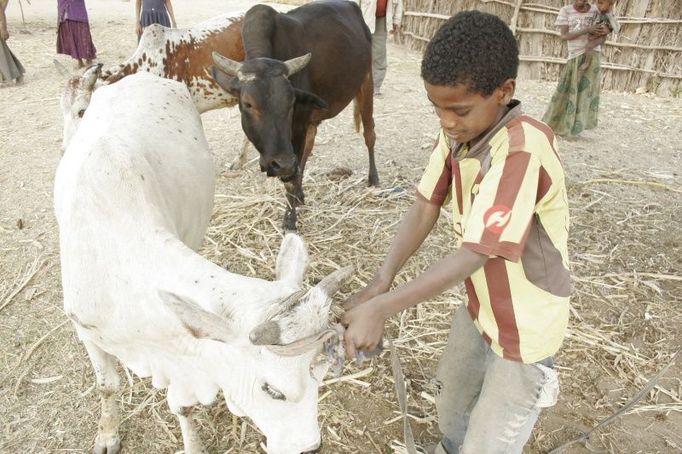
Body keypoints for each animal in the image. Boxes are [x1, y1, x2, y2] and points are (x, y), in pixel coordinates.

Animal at [53, 72, 348, 454]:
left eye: (321, 376)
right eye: (272, 390)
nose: (310, 447)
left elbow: (182, 406)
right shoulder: (84, 328)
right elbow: (107, 385)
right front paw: (107, 433)